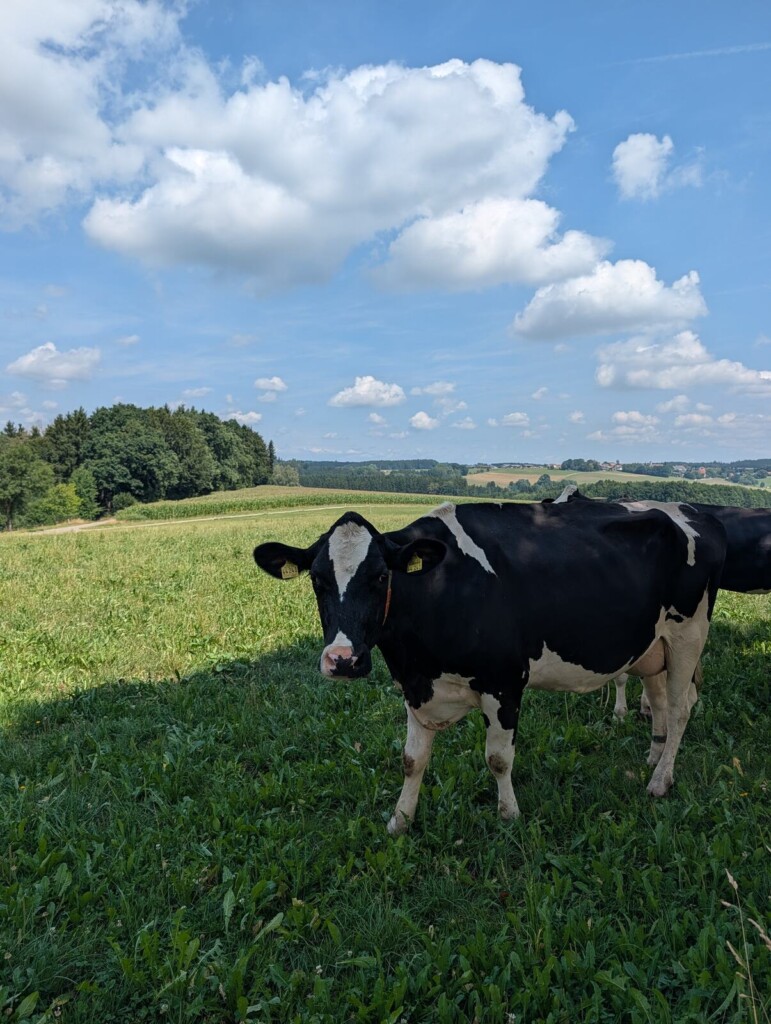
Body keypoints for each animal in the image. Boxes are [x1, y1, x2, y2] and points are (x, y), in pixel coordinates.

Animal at [254, 500, 726, 834]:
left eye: (381, 577)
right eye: (317, 580)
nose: (343, 660)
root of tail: (687, 514)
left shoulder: (504, 684)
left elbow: (498, 758)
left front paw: (508, 814)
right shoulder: (415, 685)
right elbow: (411, 760)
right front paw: (400, 820)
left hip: (688, 635)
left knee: (681, 708)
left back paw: (661, 780)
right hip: (652, 647)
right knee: (660, 701)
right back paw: (654, 756)